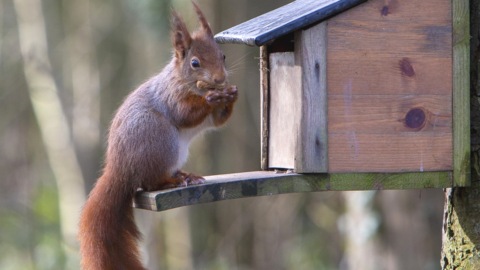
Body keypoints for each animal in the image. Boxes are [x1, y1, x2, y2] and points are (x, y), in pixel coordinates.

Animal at [79, 2, 238, 270]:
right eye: (195, 63)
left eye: (223, 56)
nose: (220, 79)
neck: (189, 84)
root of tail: (120, 169)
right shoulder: (170, 96)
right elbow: (185, 114)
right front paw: (212, 98)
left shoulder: (211, 116)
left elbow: (218, 120)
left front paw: (231, 95)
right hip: (160, 139)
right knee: (150, 182)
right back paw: (171, 181)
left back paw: (185, 175)